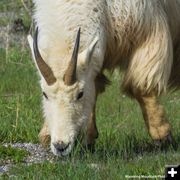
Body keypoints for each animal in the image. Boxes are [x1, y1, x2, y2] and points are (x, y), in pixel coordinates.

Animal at [27, 0, 180, 156]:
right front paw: (85, 138)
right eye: (44, 94)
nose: (60, 146)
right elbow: (95, 88)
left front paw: (162, 135)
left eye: (80, 94)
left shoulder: (148, 31)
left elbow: (140, 87)